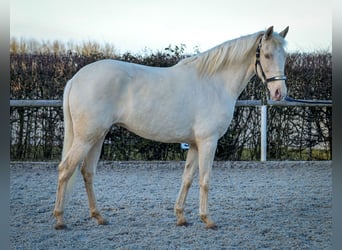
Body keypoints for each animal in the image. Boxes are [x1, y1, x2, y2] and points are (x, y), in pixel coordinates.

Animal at [53, 26, 288, 229]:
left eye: (285, 56)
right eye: (267, 55)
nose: (279, 92)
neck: (214, 83)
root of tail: (75, 79)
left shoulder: (194, 144)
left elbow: (188, 178)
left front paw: (181, 217)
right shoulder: (208, 141)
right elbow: (205, 179)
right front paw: (207, 219)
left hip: (97, 137)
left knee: (87, 172)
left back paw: (99, 217)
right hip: (86, 138)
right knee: (66, 169)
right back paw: (60, 220)